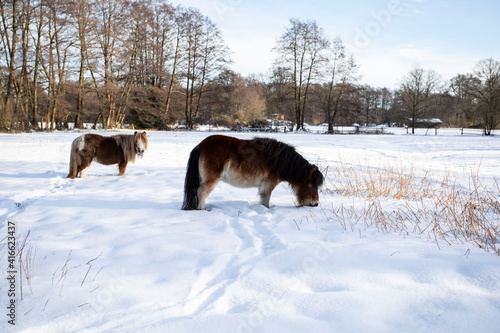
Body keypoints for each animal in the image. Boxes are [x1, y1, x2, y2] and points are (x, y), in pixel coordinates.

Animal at [183, 134, 324, 209]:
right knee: (201, 192)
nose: (315, 204)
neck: (277, 162)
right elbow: (266, 202)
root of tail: (200, 146)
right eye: (312, 185)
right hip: (211, 180)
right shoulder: (267, 187)